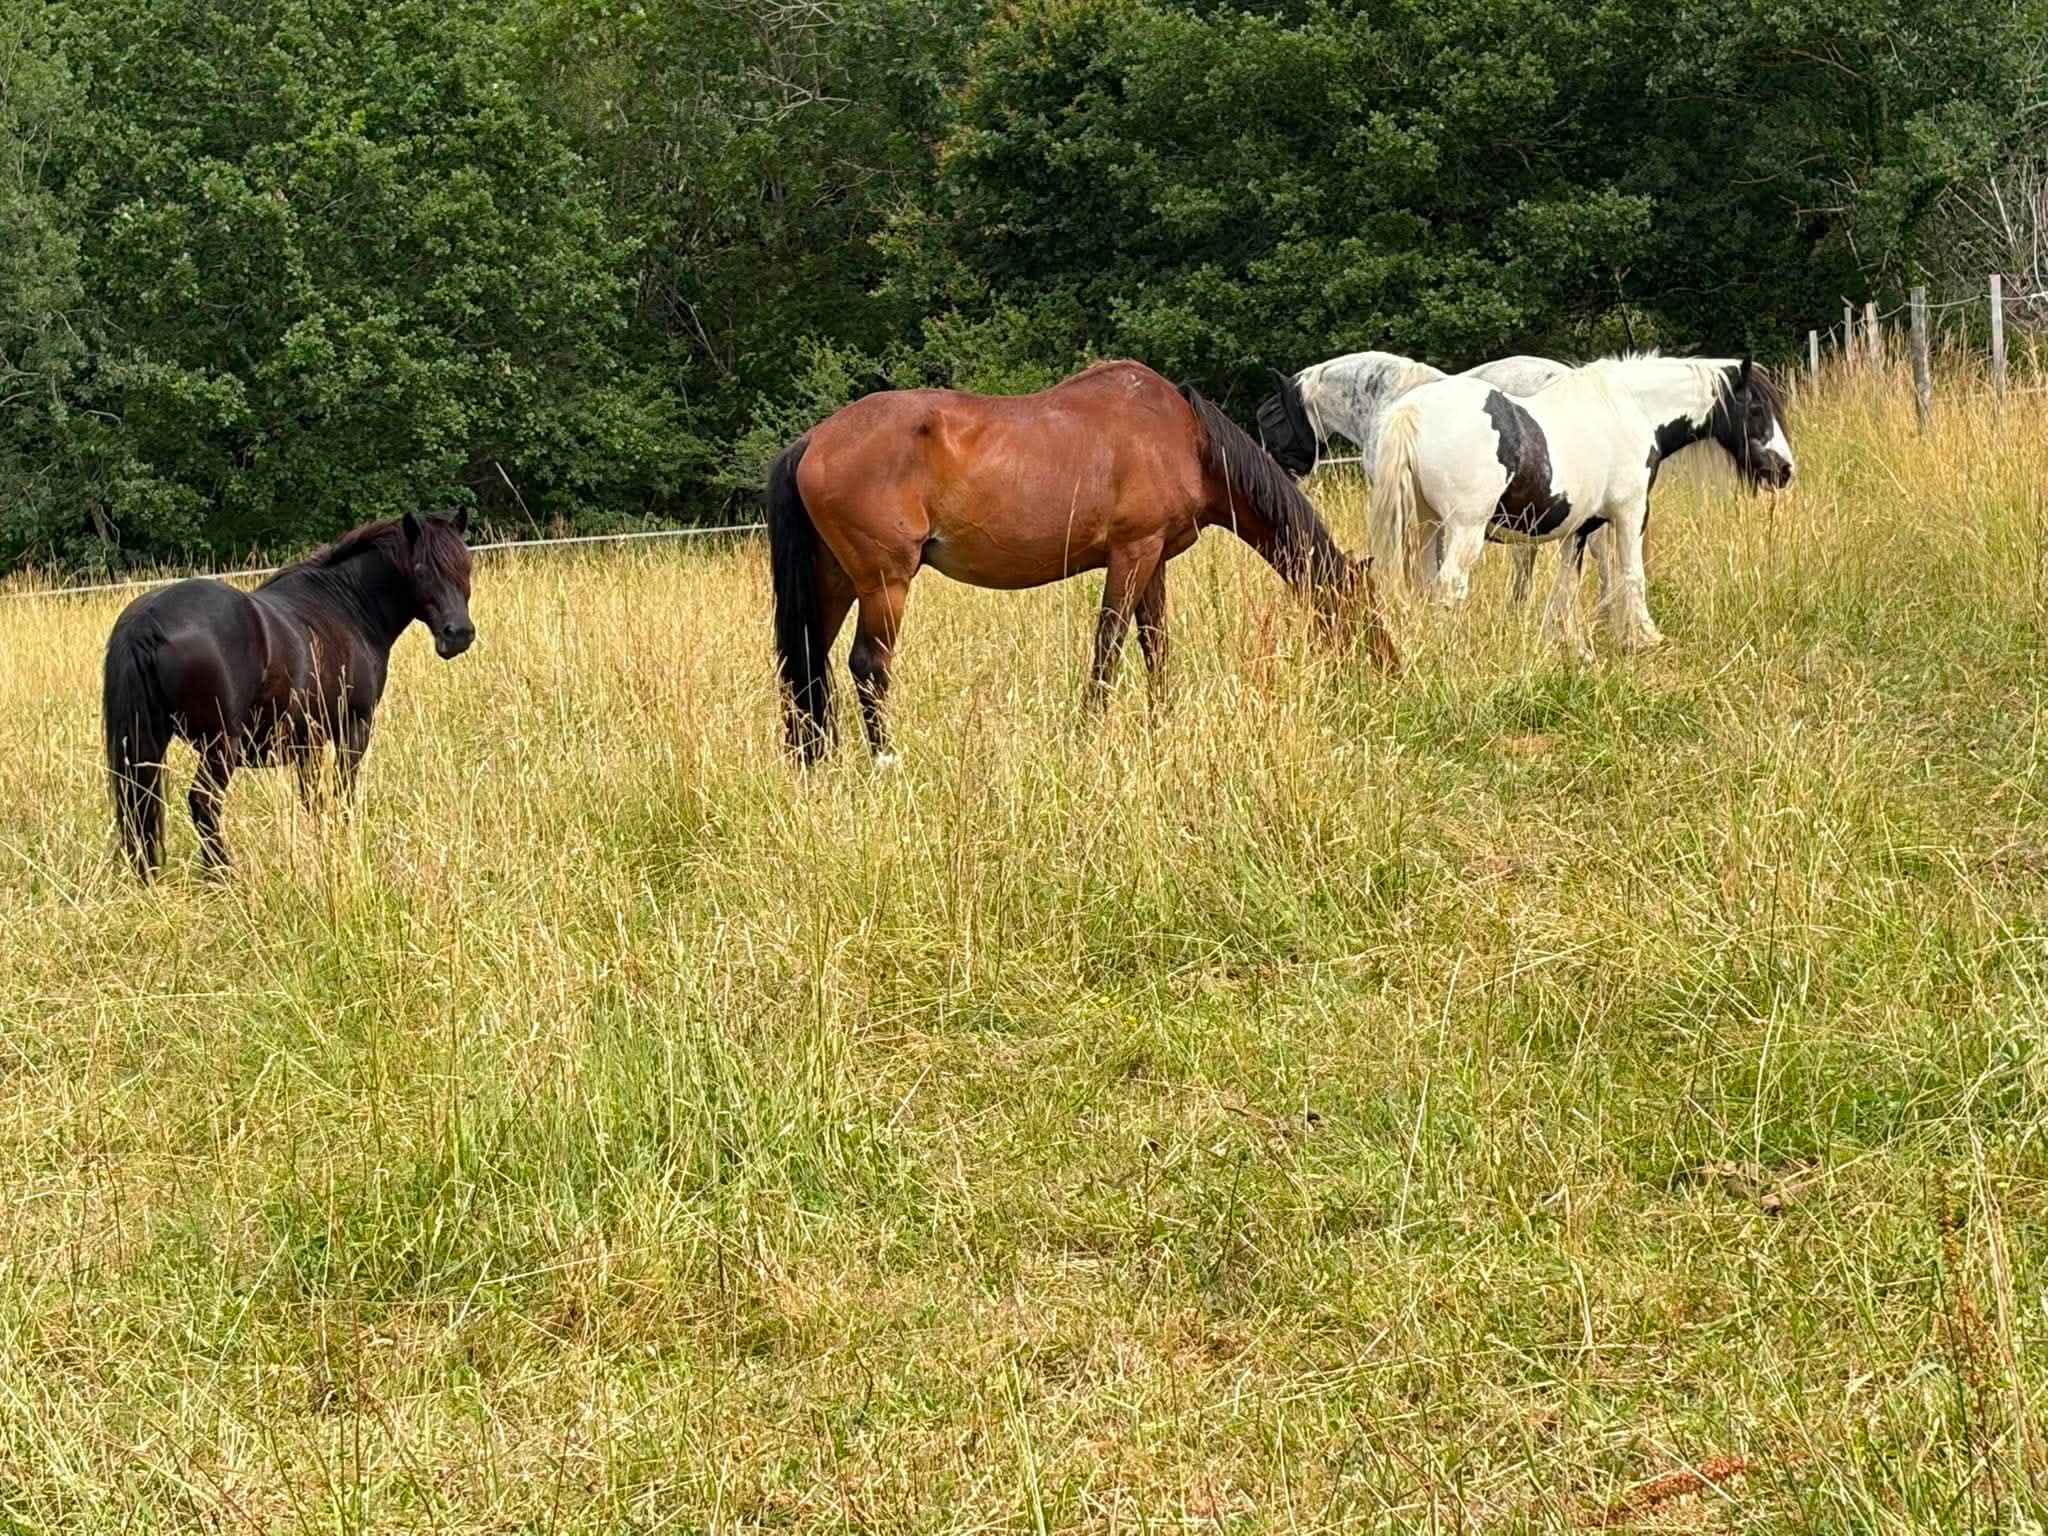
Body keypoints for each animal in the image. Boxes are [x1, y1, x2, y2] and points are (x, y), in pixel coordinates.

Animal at [102, 511, 476, 879]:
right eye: (421, 570)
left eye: (466, 566)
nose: (458, 634)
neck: (347, 606)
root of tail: (148, 620)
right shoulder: (354, 727)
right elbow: (342, 793)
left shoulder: (307, 743)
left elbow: (312, 799)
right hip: (220, 746)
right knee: (203, 803)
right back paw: (223, 875)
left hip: (149, 745)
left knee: (141, 805)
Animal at [766, 359, 1400, 763]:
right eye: (1365, 611)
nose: (1392, 674)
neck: (1186, 438)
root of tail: (812, 441)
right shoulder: (1132, 552)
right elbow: (1109, 646)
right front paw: (1090, 736)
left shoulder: (1154, 561)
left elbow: (1155, 646)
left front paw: (1161, 727)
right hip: (884, 583)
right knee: (868, 667)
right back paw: (886, 763)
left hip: (834, 581)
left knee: (807, 664)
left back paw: (814, 765)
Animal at [1367, 353, 1793, 659]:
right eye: (1756, 409)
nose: (1785, 469)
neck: (1632, 411)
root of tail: (1412, 411)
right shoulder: (1630, 514)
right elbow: (1632, 575)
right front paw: (1645, 637)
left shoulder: (1579, 530)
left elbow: (1565, 588)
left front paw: (1569, 647)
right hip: (1463, 530)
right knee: (1450, 587)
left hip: (1428, 527)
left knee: (1427, 585)